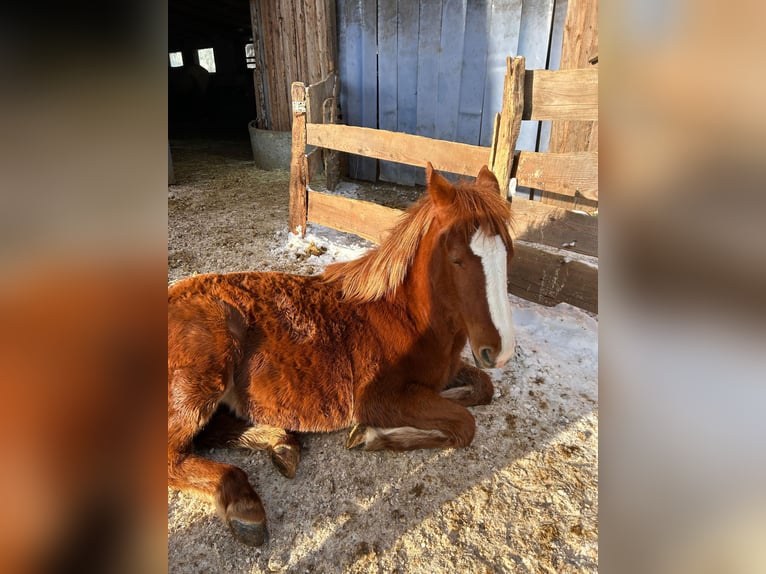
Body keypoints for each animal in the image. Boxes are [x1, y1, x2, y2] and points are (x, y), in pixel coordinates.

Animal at [168, 163, 516, 546]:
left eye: (508, 255)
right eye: (456, 259)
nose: (501, 352)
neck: (403, 315)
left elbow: (483, 388)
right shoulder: (378, 398)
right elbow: (463, 424)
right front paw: (371, 435)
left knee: (209, 434)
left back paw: (281, 444)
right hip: (202, 377)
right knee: (173, 455)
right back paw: (243, 503)